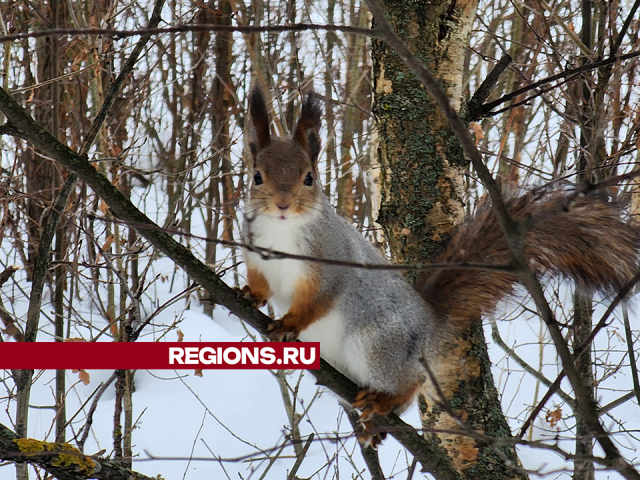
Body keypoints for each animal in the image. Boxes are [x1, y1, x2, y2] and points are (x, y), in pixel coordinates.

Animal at [240, 84, 640, 444]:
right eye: (257, 176)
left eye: (309, 178)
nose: (282, 204)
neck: (282, 233)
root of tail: (430, 323)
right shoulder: (255, 255)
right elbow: (261, 283)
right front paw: (248, 295)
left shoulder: (330, 264)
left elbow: (317, 300)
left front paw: (289, 323)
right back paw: (373, 425)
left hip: (378, 345)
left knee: (409, 383)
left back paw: (383, 402)